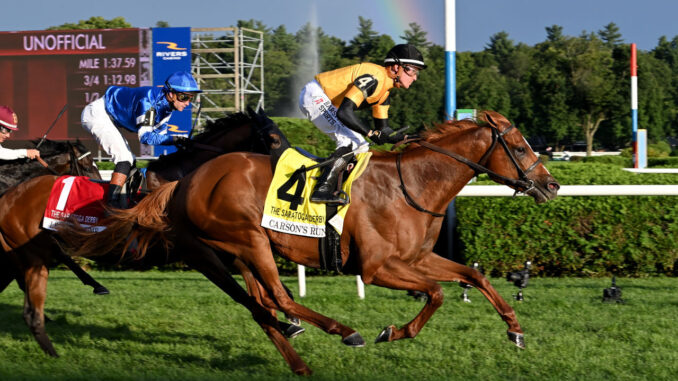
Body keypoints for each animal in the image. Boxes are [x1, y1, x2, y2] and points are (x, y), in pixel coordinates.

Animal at [58, 110, 560, 374]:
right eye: (519, 147)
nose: (551, 185)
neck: (411, 184)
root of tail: (183, 181)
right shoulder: (377, 268)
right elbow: (435, 293)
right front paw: (392, 331)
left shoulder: (417, 257)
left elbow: (473, 275)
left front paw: (515, 330)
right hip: (244, 241)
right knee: (275, 298)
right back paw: (343, 331)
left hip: (242, 250)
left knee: (262, 303)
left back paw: (297, 354)